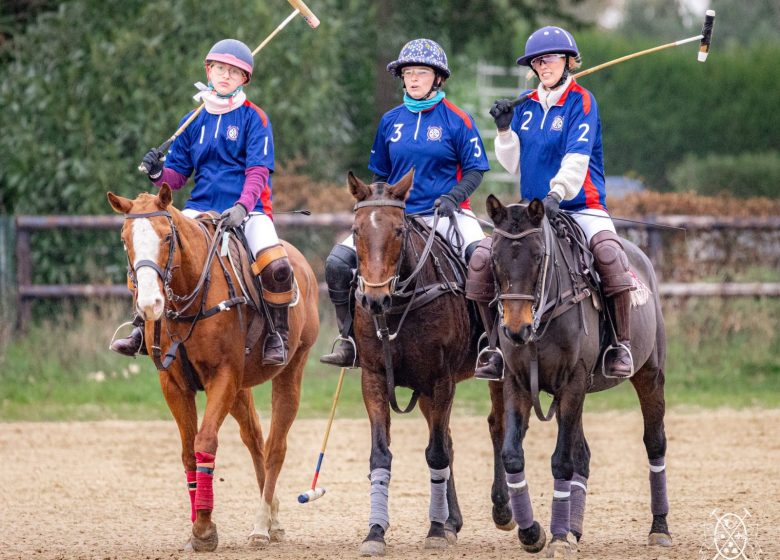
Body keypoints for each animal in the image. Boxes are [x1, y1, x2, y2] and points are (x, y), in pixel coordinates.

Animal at [106, 187, 320, 552]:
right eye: (124, 239)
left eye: (167, 237)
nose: (150, 305)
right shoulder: (174, 384)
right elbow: (188, 453)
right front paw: (197, 526)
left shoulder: (223, 377)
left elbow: (204, 441)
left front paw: (205, 529)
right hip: (241, 387)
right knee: (255, 439)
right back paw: (273, 518)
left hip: (291, 369)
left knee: (275, 447)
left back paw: (261, 526)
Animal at [348, 171, 512, 556]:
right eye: (356, 230)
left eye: (398, 231)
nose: (375, 299)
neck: (399, 305)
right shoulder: (374, 377)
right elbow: (381, 455)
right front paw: (375, 532)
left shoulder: (441, 379)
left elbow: (436, 454)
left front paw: (435, 530)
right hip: (423, 391)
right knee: (449, 438)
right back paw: (453, 521)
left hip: (490, 371)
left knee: (496, 425)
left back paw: (500, 510)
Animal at [488, 195, 672, 556]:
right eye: (495, 257)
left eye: (537, 255)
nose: (516, 330)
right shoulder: (518, 382)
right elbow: (513, 455)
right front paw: (532, 533)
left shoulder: (572, 382)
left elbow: (562, 461)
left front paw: (557, 538)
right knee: (583, 455)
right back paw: (574, 529)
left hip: (650, 374)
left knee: (655, 441)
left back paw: (659, 529)